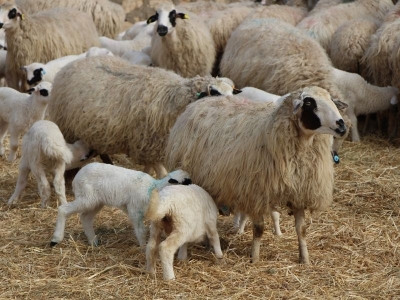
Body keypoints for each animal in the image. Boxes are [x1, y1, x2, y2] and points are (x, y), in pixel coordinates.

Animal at [46, 54, 238, 178]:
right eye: (215, 93)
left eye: (231, 92)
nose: (231, 108)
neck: (174, 99)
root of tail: (72, 63)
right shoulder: (148, 143)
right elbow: (161, 171)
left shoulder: (151, 146)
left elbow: (150, 167)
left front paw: (145, 175)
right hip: (68, 127)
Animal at [49, 163, 191, 247]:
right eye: (186, 182)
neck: (155, 188)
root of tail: (78, 175)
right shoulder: (135, 211)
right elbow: (141, 231)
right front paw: (143, 247)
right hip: (86, 198)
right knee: (63, 209)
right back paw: (56, 239)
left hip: (96, 202)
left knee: (86, 217)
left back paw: (93, 242)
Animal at [166, 86, 346, 262]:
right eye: (308, 102)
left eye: (331, 99)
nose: (342, 126)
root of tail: (203, 101)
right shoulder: (257, 194)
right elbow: (259, 229)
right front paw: (255, 257)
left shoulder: (299, 193)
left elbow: (301, 229)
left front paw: (305, 258)